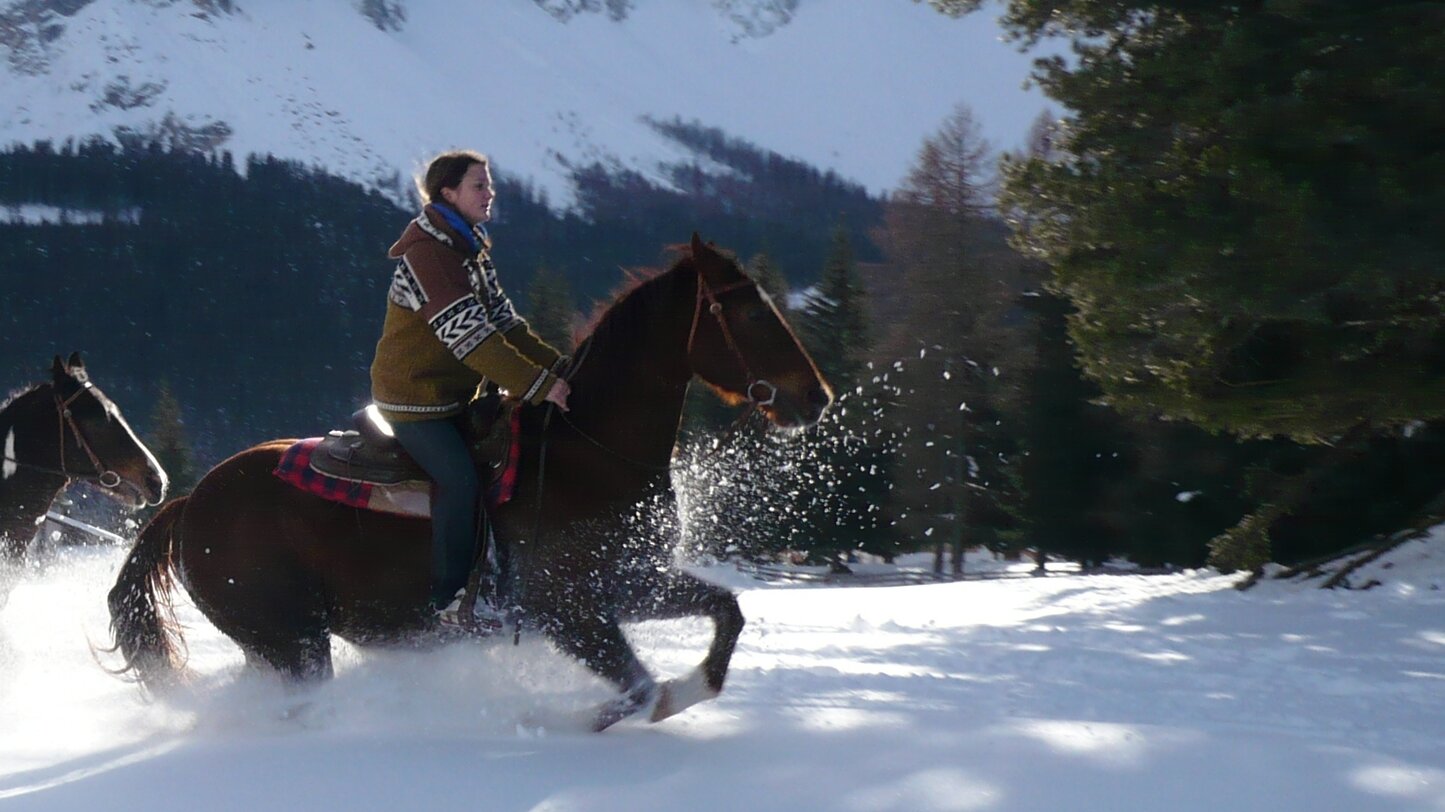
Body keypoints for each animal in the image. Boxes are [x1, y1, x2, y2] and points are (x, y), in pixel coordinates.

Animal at [109, 234, 838, 728]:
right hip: (292, 643)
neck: (587, 454)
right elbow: (638, 685)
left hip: (278, 646)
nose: (816, 397)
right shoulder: (565, 609)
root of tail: (189, 504)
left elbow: (726, 613)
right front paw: (593, 716)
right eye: (749, 314)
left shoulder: (626, 585)